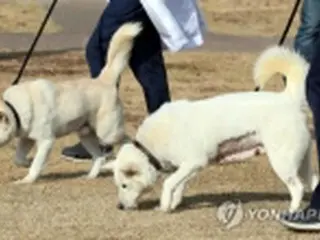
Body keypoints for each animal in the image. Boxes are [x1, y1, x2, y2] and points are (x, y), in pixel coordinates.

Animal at [0, 22, 141, 184]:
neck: (14, 107)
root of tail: (104, 80)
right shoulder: (26, 138)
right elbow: (18, 159)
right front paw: (26, 163)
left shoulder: (46, 141)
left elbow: (36, 164)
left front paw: (27, 180)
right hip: (86, 135)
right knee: (99, 157)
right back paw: (90, 176)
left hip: (108, 133)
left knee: (128, 140)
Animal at [104, 46, 318, 213]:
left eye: (124, 185)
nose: (119, 207)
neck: (150, 145)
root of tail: (288, 99)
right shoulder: (189, 167)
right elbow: (178, 185)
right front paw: (173, 204)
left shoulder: (194, 161)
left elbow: (168, 183)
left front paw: (164, 206)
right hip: (301, 160)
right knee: (314, 182)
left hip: (283, 161)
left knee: (298, 188)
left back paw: (292, 211)